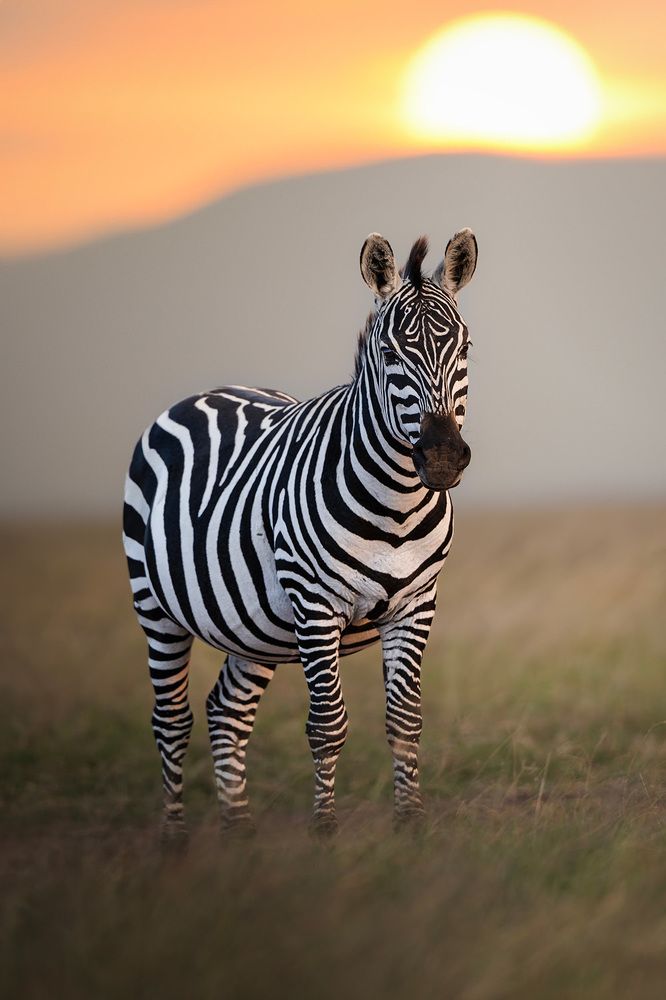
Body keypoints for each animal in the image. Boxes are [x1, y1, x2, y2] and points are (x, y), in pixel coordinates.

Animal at [123, 227, 478, 839]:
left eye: (465, 349)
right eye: (390, 355)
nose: (442, 458)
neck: (398, 505)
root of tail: (209, 391)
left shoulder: (417, 605)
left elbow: (405, 721)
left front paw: (411, 826)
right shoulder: (315, 607)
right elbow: (327, 725)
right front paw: (325, 835)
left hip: (253, 629)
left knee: (226, 711)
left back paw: (239, 834)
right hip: (156, 606)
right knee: (170, 719)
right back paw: (175, 842)